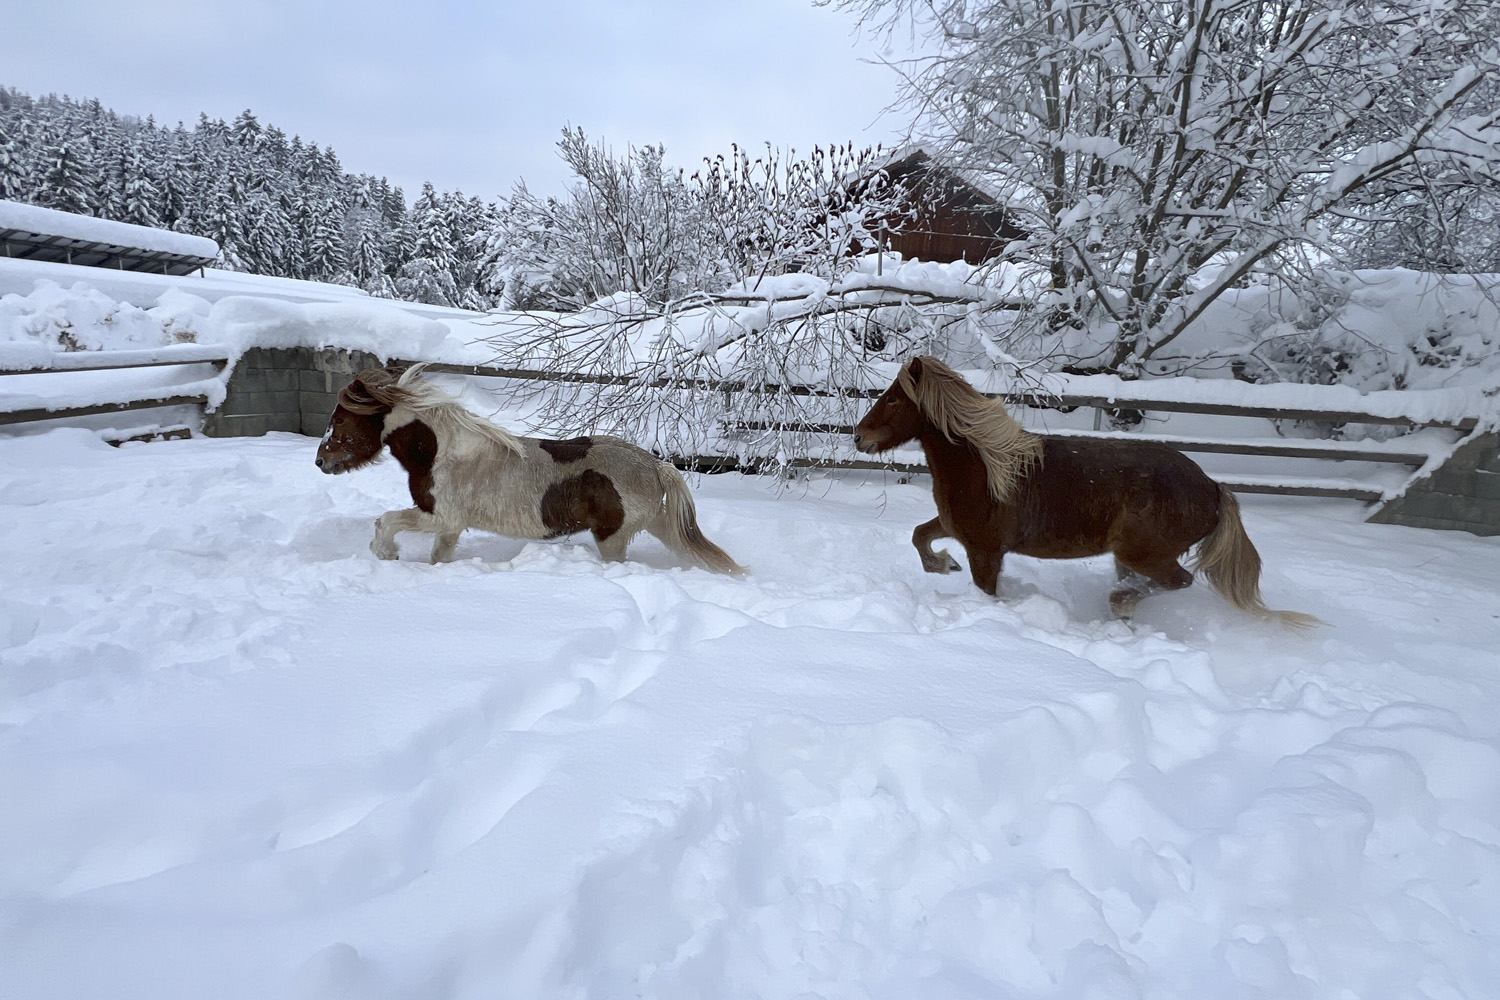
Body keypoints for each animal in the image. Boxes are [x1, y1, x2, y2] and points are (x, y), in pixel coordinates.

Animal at [315, 365, 744, 575]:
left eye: (341, 418)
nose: (321, 462)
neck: (443, 452)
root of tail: (655, 463)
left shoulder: (440, 516)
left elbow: (385, 521)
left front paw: (385, 553)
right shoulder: (450, 526)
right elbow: (439, 558)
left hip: (612, 539)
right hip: (655, 526)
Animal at [852, 355, 1320, 628]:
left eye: (894, 399)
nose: (859, 437)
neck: (985, 467)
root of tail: (1213, 488)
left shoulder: (985, 551)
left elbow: (982, 588)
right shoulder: (955, 528)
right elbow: (919, 537)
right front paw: (944, 565)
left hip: (1144, 556)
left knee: (1178, 581)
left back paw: (1121, 606)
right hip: (1130, 558)